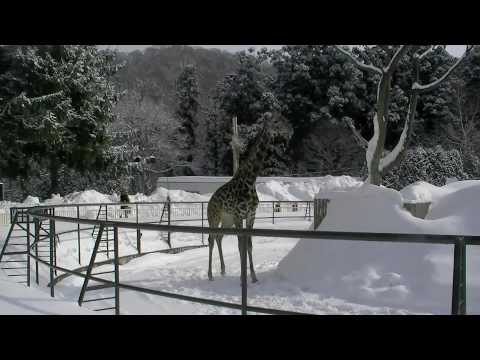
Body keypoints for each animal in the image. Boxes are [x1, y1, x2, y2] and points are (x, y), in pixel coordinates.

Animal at [205, 114, 274, 282]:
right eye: (276, 121)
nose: (287, 129)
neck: (250, 179)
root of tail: (209, 203)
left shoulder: (250, 216)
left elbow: (248, 245)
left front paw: (254, 277)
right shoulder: (239, 216)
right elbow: (240, 245)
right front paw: (244, 277)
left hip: (227, 220)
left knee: (219, 237)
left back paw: (223, 270)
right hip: (214, 218)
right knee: (211, 239)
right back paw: (210, 275)